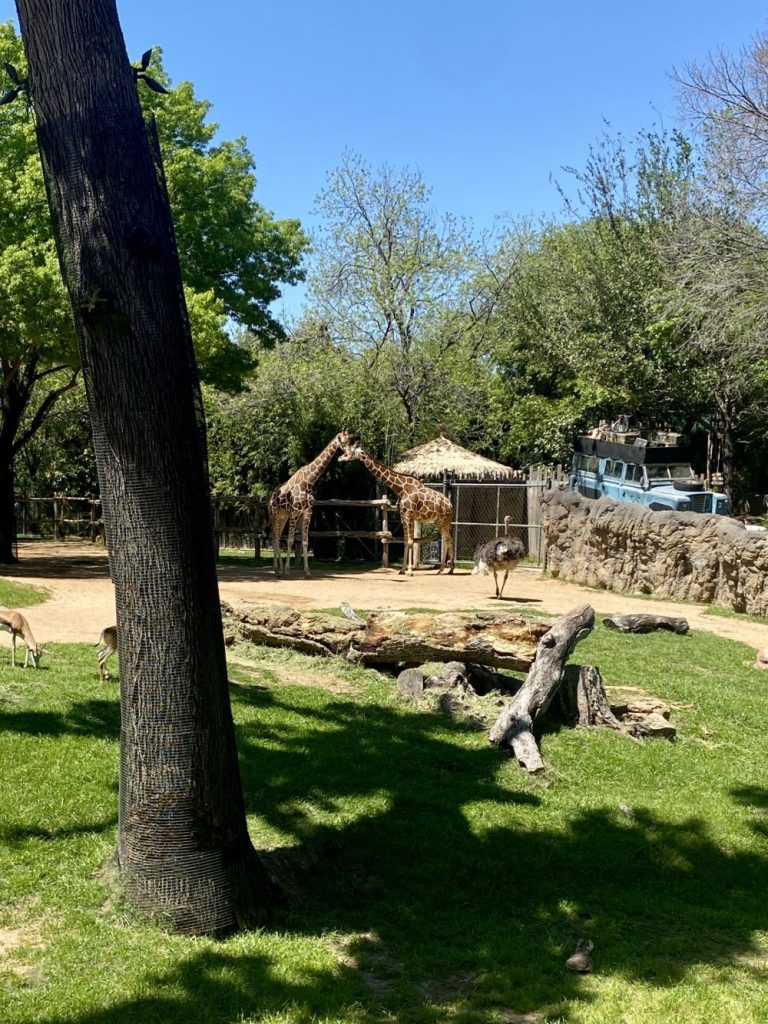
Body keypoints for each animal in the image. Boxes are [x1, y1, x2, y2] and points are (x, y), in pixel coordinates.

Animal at [268, 430, 351, 577]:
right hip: (274, 514)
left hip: (283, 516)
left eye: (351, 440)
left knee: (277, 537)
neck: (309, 481)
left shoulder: (308, 511)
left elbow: (305, 541)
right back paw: (278, 570)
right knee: (275, 537)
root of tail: (270, 497)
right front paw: (288, 570)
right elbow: (290, 540)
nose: (349, 454)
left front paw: (307, 571)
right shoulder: (295, 511)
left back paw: (278, 569)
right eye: (343, 441)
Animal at [338, 444, 455, 575]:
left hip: (445, 520)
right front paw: (402, 570)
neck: (400, 488)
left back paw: (450, 569)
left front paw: (410, 571)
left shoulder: (409, 514)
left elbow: (410, 541)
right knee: (446, 540)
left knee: (449, 539)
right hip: (438, 521)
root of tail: (450, 504)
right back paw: (441, 570)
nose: (340, 458)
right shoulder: (403, 515)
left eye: (351, 452)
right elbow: (405, 541)